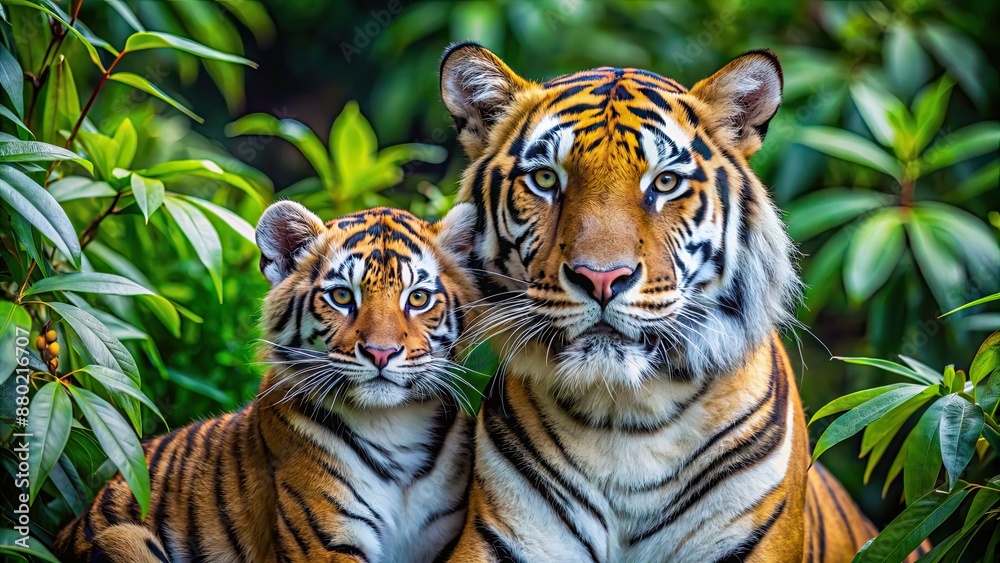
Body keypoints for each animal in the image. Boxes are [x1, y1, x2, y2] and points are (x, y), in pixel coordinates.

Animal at [54, 201, 481, 563]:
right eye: (343, 296)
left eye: (418, 298)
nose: (380, 352)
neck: (394, 427)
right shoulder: (327, 543)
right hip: (122, 537)